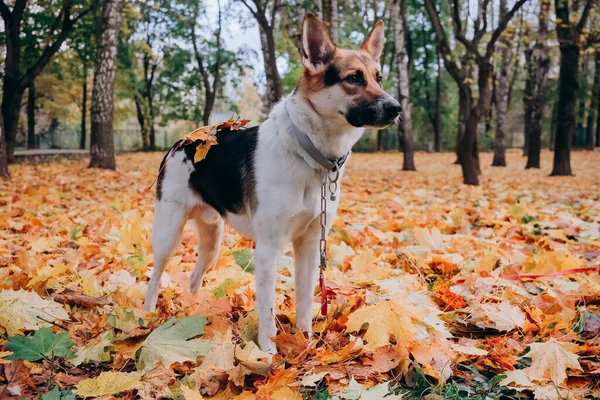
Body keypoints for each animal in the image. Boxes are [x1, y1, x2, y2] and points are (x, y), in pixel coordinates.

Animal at [143, 14, 400, 354]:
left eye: (379, 78)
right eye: (354, 78)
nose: (397, 108)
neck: (309, 154)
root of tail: (184, 141)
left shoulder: (309, 246)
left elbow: (305, 301)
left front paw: (305, 343)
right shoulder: (268, 247)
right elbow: (266, 308)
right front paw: (267, 352)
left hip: (212, 239)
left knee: (195, 277)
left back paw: (198, 311)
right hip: (168, 235)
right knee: (155, 276)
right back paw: (147, 315)